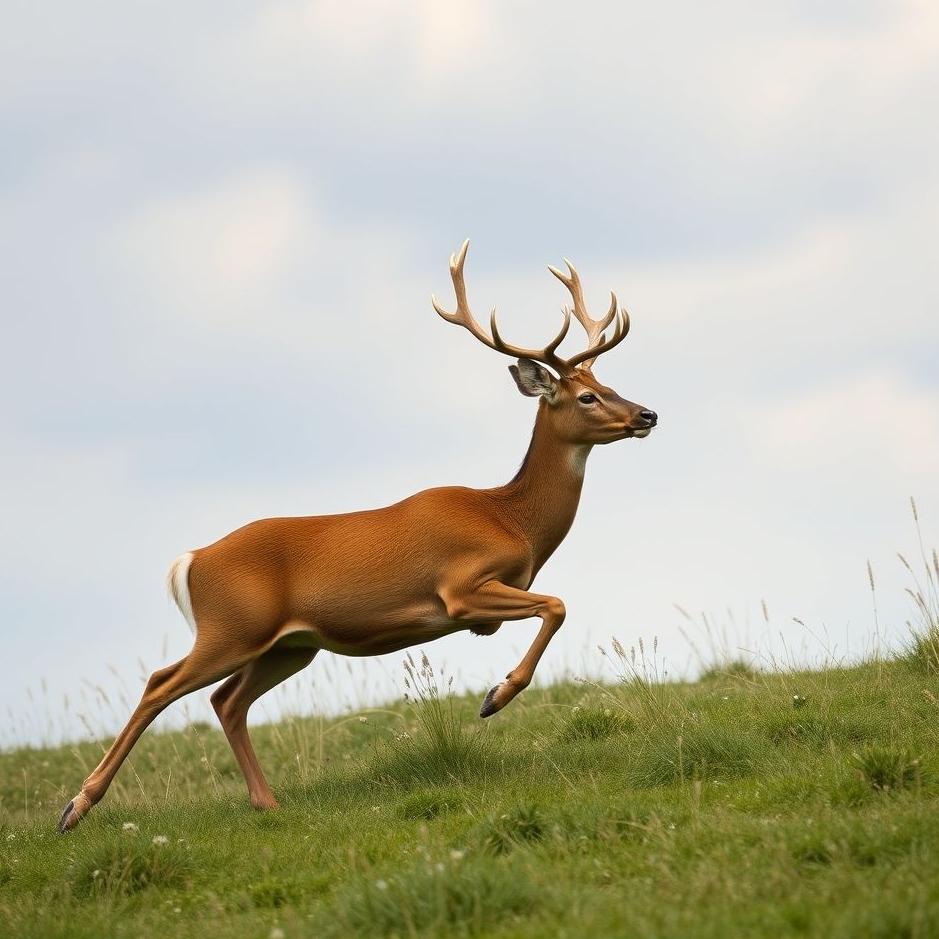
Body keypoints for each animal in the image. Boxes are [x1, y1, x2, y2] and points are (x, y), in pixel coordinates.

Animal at [57, 241, 657, 833]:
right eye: (585, 398)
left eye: (608, 385)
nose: (647, 413)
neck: (511, 520)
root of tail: (191, 560)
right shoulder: (460, 589)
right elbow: (557, 604)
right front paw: (495, 696)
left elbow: (554, 605)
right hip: (230, 627)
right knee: (161, 683)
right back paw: (75, 807)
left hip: (289, 646)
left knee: (227, 701)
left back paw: (266, 802)